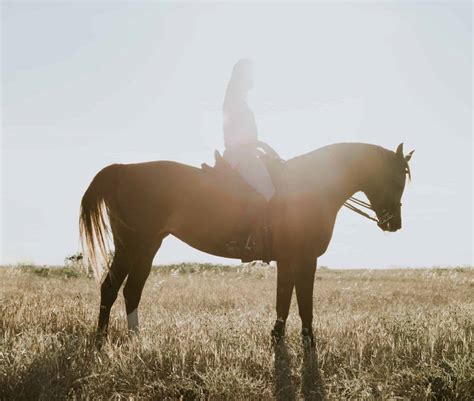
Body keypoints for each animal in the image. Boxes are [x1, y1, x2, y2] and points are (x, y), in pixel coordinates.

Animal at [79, 141, 412, 344]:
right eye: (396, 179)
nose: (393, 224)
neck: (310, 186)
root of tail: (123, 169)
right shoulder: (305, 259)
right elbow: (304, 303)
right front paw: (309, 342)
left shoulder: (288, 260)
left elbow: (283, 300)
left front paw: (277, 338)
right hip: (132, 245)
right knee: (110, 287)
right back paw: (101, 338)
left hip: (148, 246)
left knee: (132, 289)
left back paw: (136, 338)